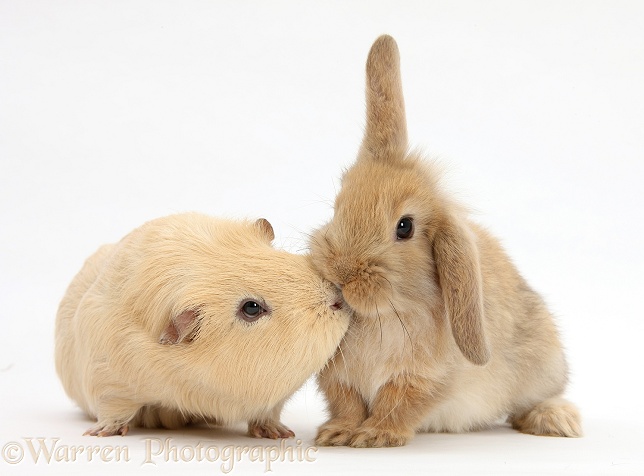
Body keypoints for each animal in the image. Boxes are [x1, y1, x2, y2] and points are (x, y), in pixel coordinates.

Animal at [310, 35, 580, 448]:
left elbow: (398, 403)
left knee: (535, 400)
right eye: (338, 206)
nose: (341, 275)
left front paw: (376, 437)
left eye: (404, 227)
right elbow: (348, 403)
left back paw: (557, 420)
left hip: (543, 365)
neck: (385, 313)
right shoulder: (337, 378)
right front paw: (337, 433)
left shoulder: (425, 378)